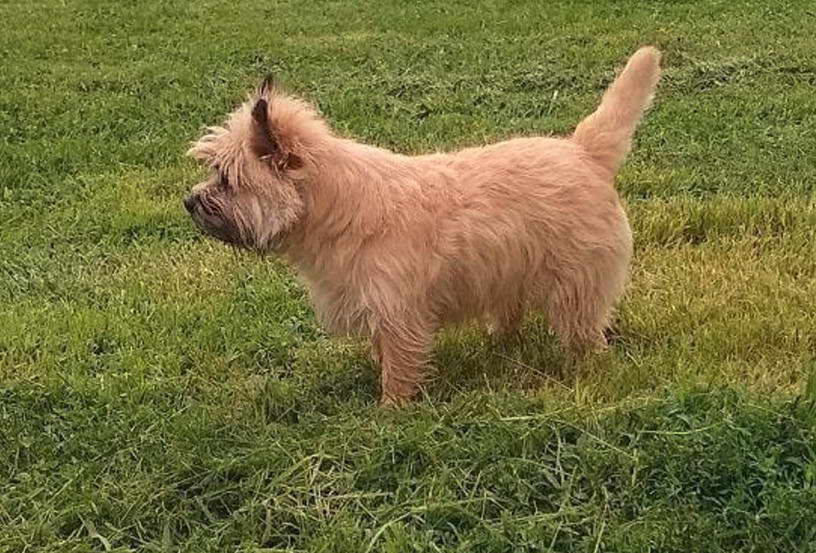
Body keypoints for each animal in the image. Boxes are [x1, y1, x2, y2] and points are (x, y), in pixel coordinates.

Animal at [186, 46, 664, 406]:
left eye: (225, 179)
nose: (189, 201)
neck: (339, 209)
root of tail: (584, 153)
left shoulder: (398, 311)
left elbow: (398, 366)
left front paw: (390, 411)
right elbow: (385, 354)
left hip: (577, 286)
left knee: (586, 333)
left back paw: (586, 370)